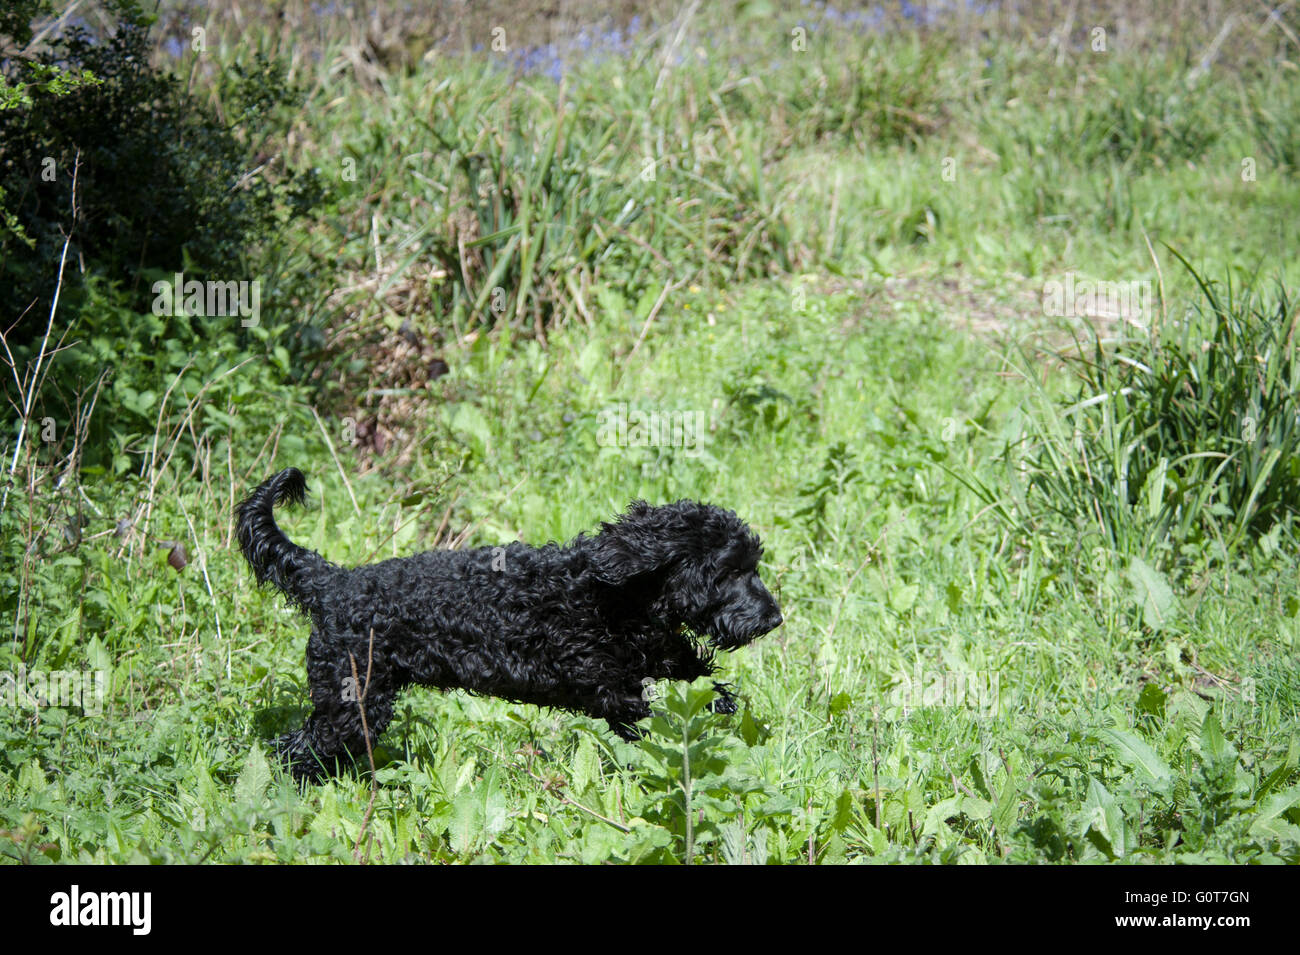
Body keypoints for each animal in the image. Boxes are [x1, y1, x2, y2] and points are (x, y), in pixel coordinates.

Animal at [235, 467, 780, 779]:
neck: (622, 593)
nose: (774, 619)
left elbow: (701, 681)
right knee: (295, 748)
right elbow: (656, 716)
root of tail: (331, 581)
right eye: (729, 571)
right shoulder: (610, 689)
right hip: (351, 701)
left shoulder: (658, 658)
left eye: (754, 565)